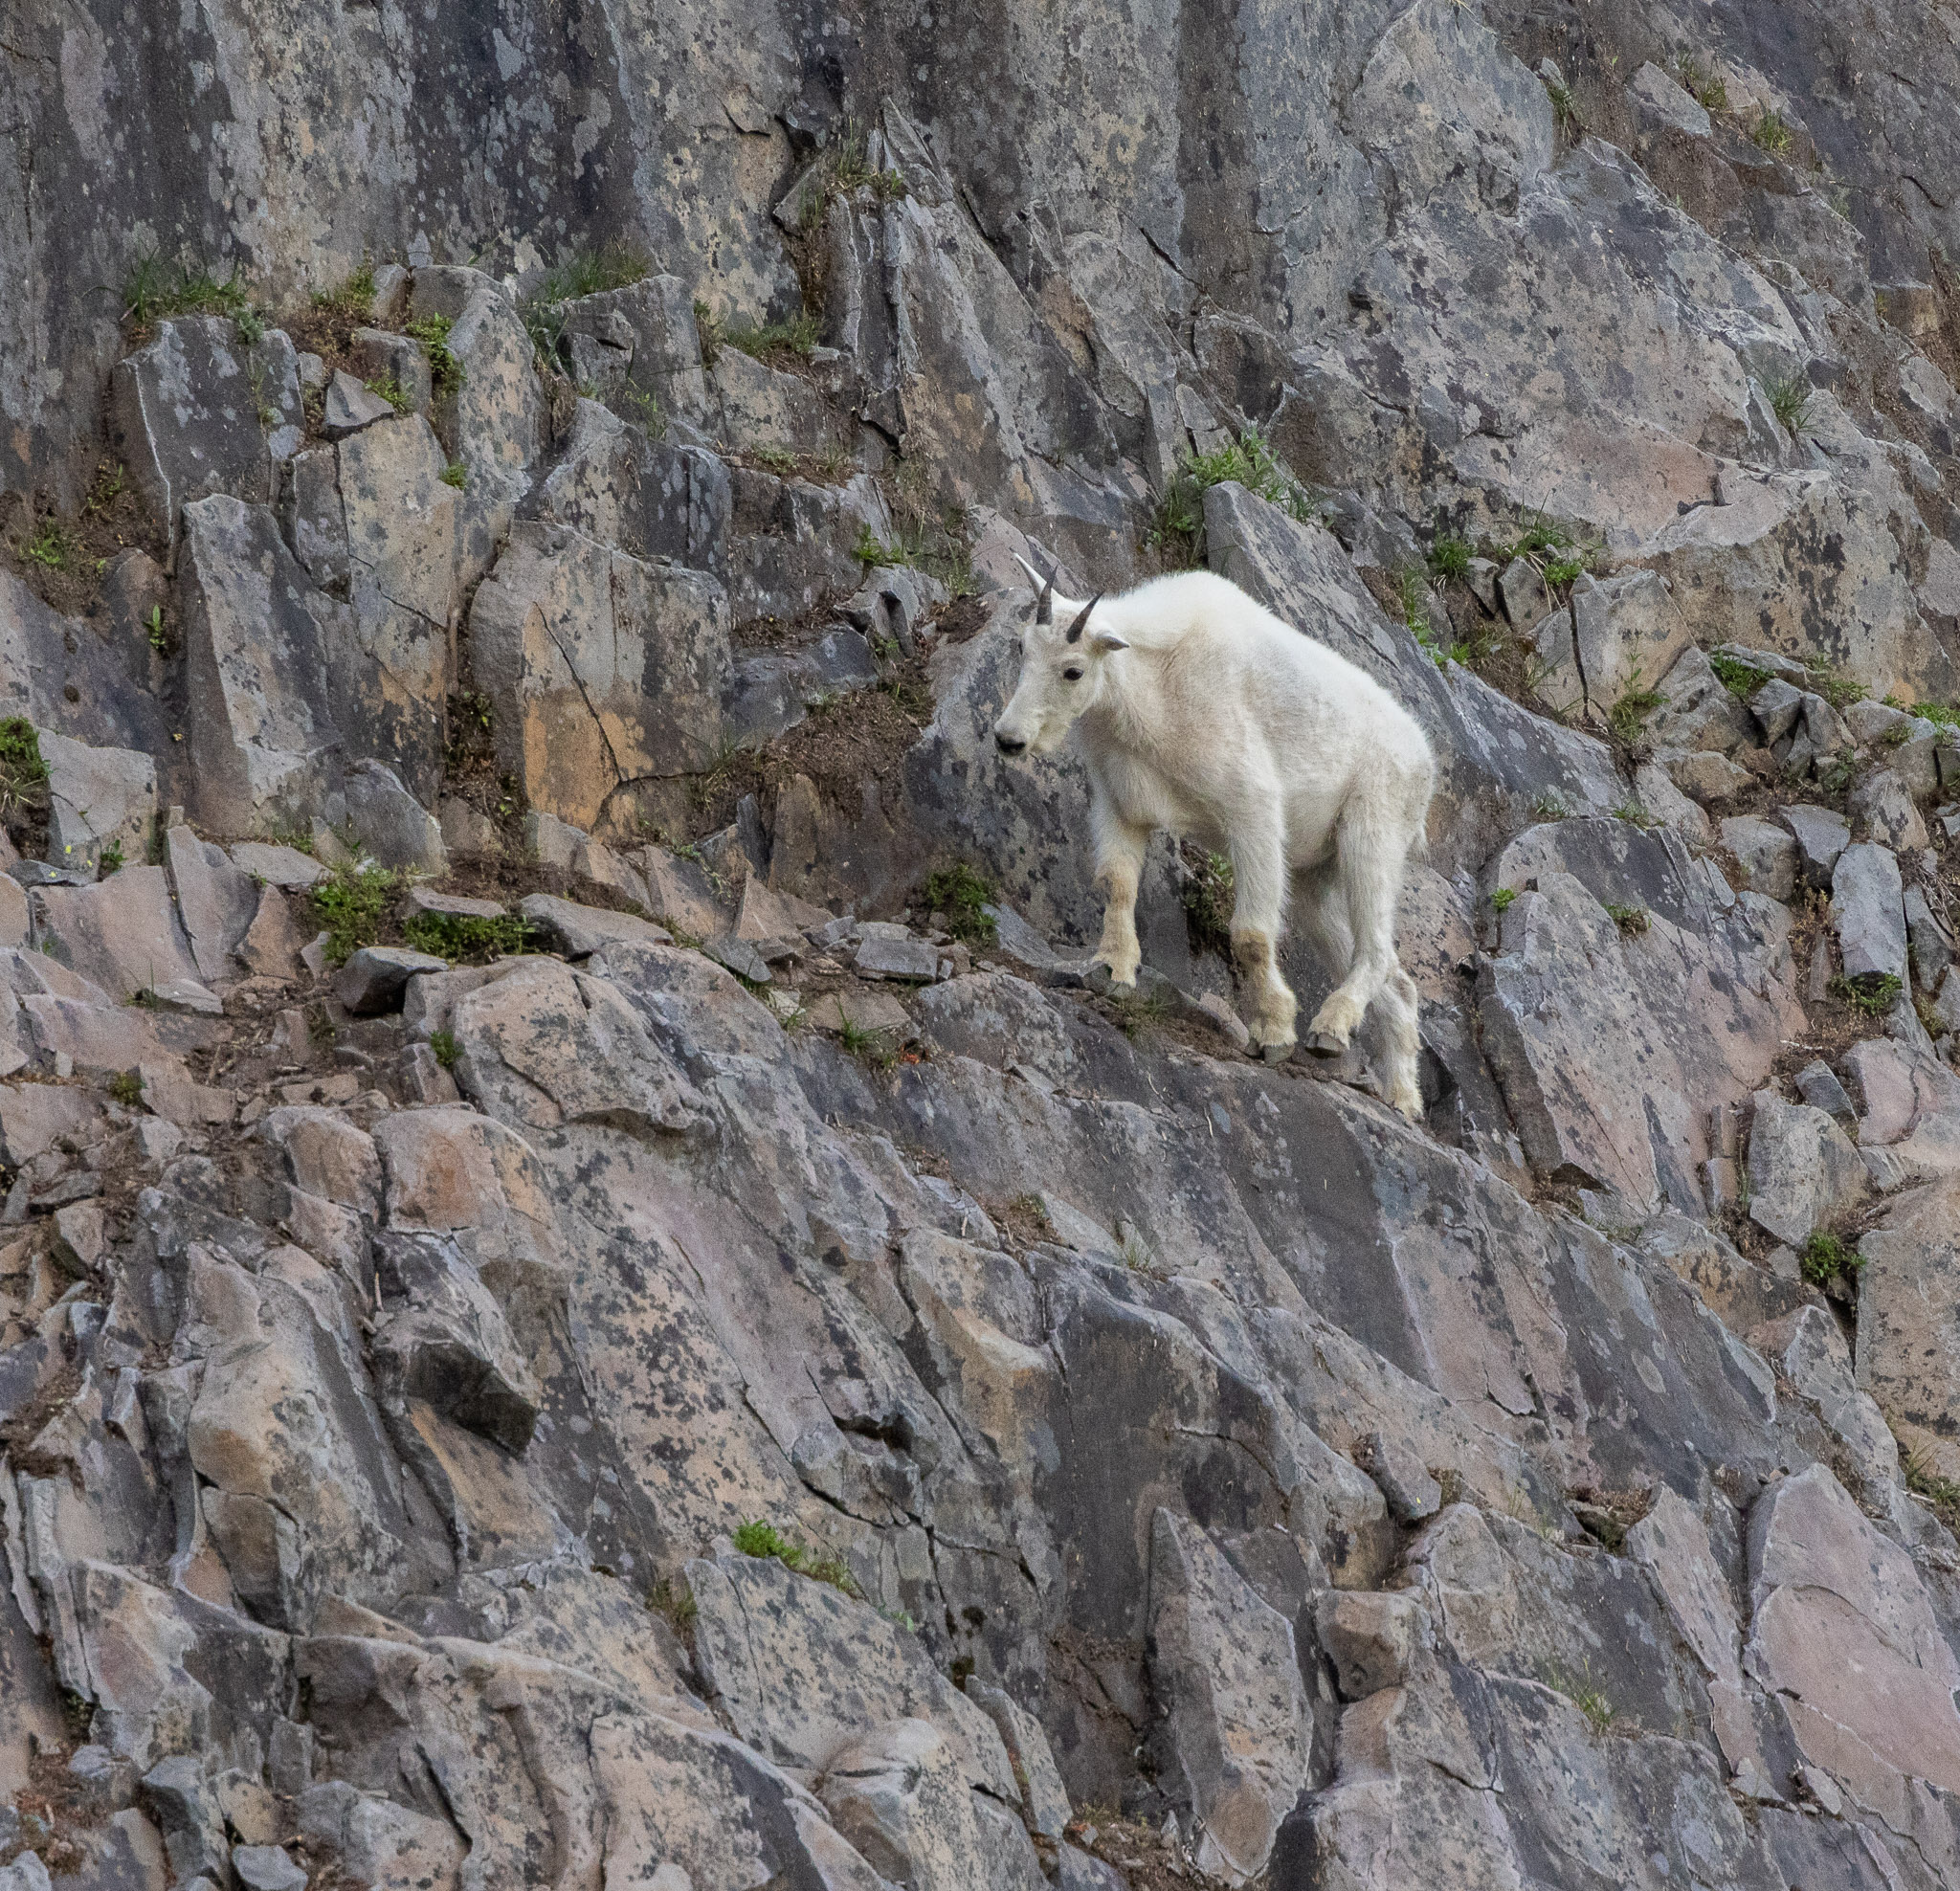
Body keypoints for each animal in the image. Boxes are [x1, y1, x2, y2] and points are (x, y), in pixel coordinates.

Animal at [995, 560, 1442, 1121]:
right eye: (1021, 647)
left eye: (1073, 670)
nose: (1008, 739)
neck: (1150, 681)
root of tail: (1426, 759)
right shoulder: (1119, 801)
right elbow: (1117, 883)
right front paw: (1112, 970)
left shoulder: (1252, 808)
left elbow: (1250, 934)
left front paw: (1273, 1033)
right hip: (1315, 873)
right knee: (1394, 978)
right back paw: (1401, 1095)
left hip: (1374, 828)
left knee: (1377, 948)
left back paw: (1329, 1030)